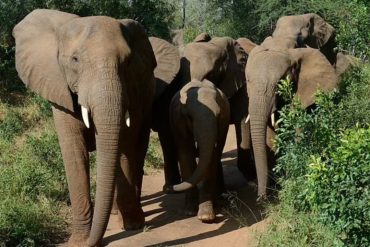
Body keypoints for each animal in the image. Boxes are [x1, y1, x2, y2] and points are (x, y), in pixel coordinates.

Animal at [11, 8, 178, 246]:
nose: (95, 242)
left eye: (128, 62)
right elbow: (74, 153)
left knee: (137, 150)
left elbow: (124, 145)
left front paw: (132, 226)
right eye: (75, 60)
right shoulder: (59, 89)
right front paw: (79, 241)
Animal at [170, 79, 228, 222]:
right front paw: (189, 211)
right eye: (189, 117)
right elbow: (185, 154)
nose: (172, 187)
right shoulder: (178, 122)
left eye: (219, 115)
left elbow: (211, 156)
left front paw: (206, 217)